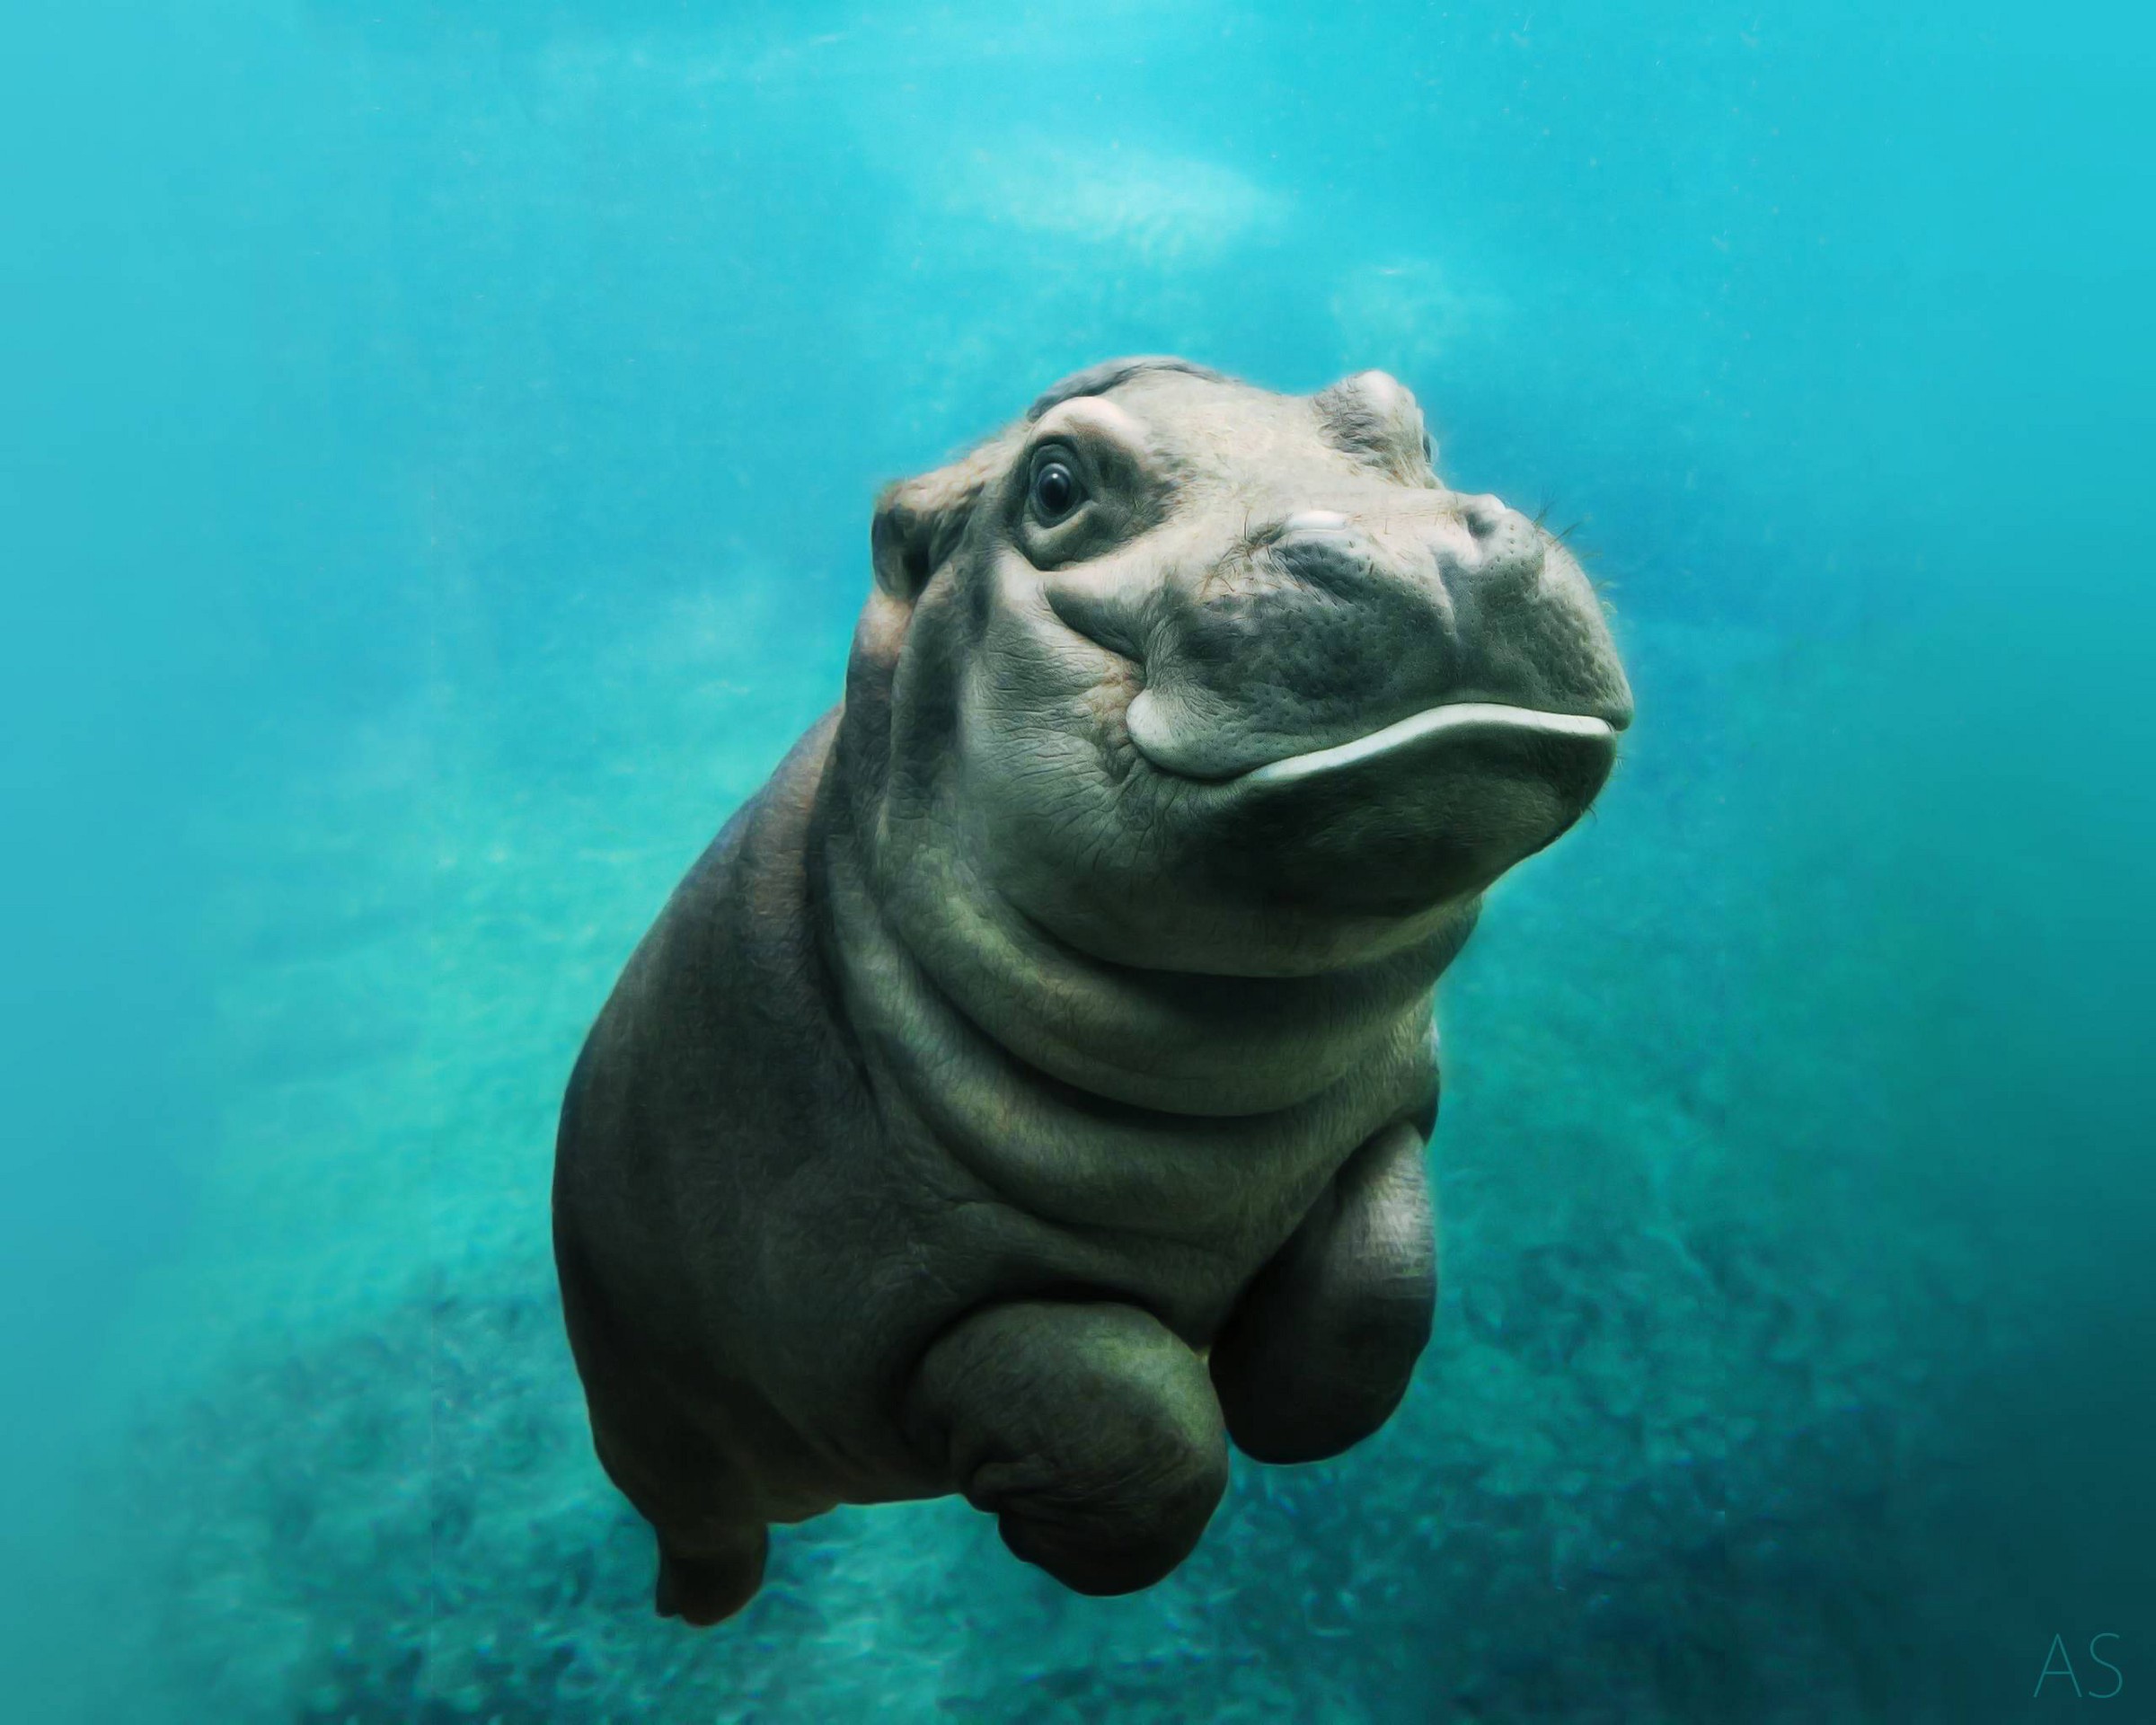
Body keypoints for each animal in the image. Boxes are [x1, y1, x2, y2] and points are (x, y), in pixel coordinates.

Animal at [552, 357, 1632, 1625]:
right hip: (652, 1425)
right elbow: (1137, 1416)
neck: (1223, 1073)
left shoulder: (1380, 1120)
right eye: (1056, 485)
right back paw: (698, 1610)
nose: (1421, 546)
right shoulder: (883, 1303)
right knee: (702, 1523)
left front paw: (1284, 1405)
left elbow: (1381, 1281)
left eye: (1404, 421)